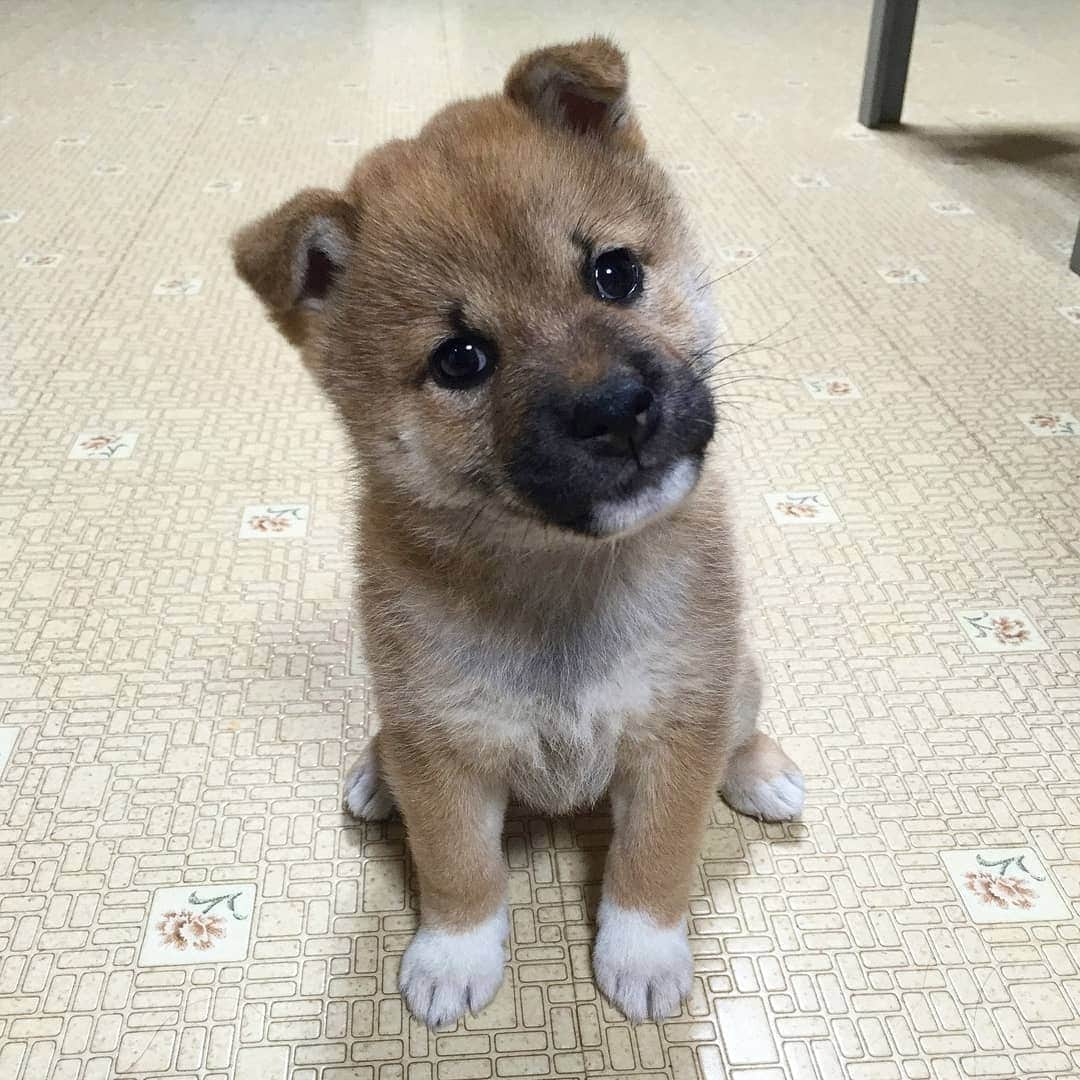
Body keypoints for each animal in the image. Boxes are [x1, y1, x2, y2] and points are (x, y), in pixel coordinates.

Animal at [232, 35, 803, 1028]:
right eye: (461, 359)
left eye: (614, 272)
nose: (615, 410)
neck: (561, 578)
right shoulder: (442, 745)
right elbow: (458, 865)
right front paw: (454, 953)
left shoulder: (676, 729)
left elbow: (656, 855)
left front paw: (642, 949)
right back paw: (376, 774)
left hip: (733, 679)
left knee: (744, 717)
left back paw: (759, 769)